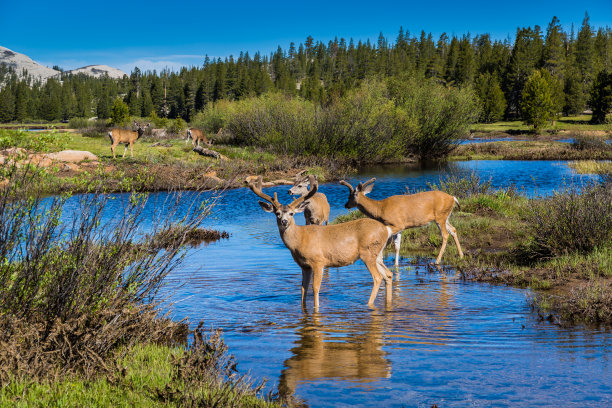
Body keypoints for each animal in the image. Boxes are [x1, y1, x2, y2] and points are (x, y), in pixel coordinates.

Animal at [247, 174, 394, 308]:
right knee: (388, 274)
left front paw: (316, 308)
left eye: (291, 213)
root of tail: (387, 230)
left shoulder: (318, 261)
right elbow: (303, 289)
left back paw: (368, 304)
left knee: (377, 277)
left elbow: (315, 288)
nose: (284, 221)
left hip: (367, 252)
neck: (300, 239)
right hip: (377, 254)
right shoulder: (304, 266)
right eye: (277, 213)